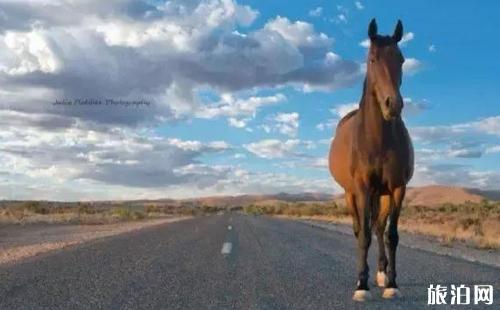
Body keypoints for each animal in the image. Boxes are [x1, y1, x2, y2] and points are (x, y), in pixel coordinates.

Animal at [328, 18, 414, 300]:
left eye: (401, 59)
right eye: (372, 59)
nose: (392, 105)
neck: (378, 139)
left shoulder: (397, 188)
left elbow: (391, 235)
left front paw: (392, 283)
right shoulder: (363, 188)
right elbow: (363, 235)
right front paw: (361, 286)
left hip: (382, 194)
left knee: (378, 227)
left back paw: (380, 272)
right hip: (351, 193)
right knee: (360, 229)